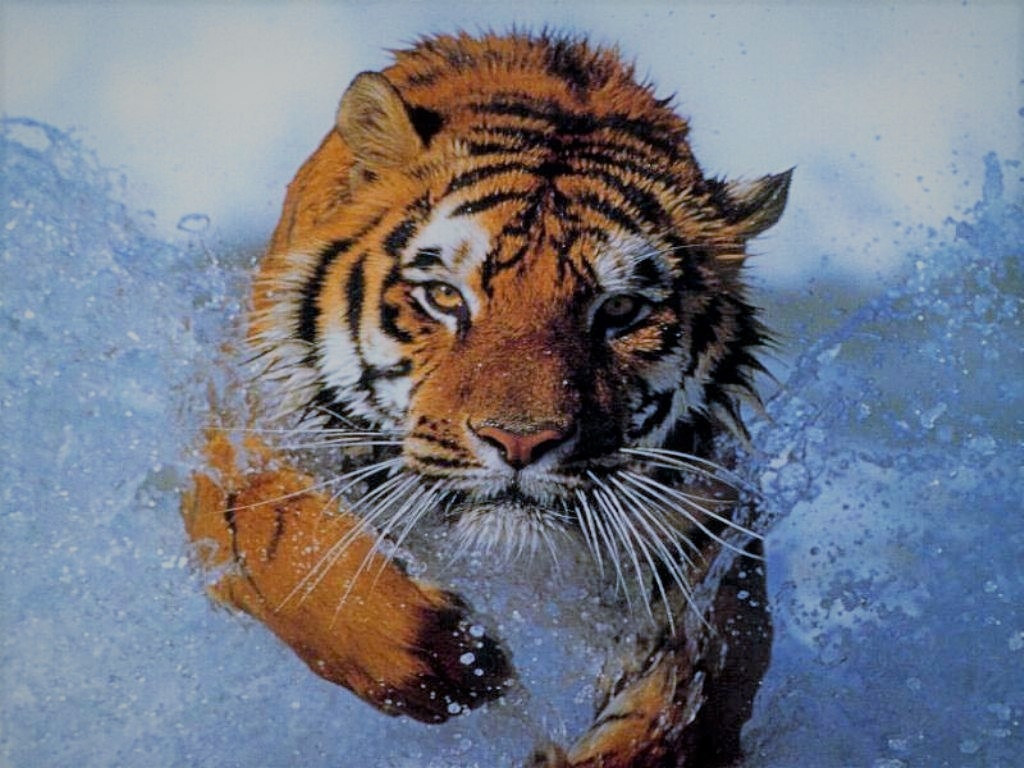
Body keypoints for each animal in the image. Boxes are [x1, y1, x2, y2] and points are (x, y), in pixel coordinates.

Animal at [182, 30, 790, 767]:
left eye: (619, 311)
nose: (521, 441)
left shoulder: (707, 545)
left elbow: (683, 700)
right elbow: (288, 546)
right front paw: (454, 663)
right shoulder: (244, 439)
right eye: (446, 296)